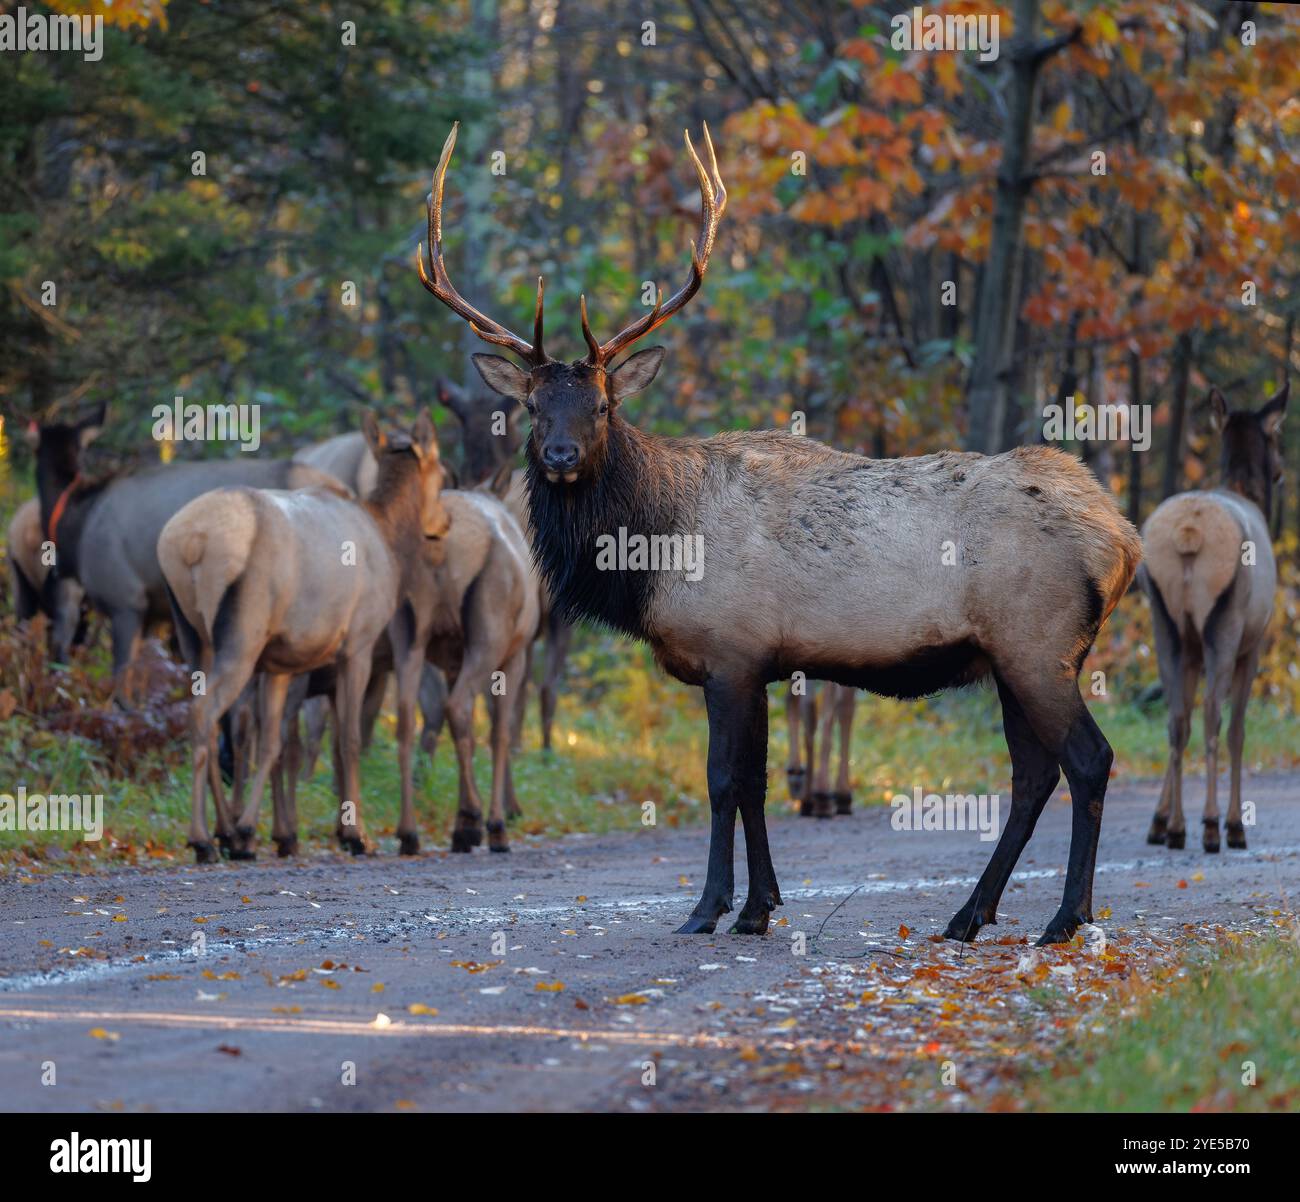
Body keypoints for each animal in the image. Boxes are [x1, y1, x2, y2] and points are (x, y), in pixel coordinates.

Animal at [156, 415, 449, 862]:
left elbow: (274, 743)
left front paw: (254, 830)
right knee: (204, 714)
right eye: (444, 473)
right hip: (242, 634)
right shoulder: (358, 644)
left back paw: (223, 832)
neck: (390, 540)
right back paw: (203, 838)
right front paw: (356, 836)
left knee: (212, 720)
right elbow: (348, 741)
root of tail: (190, 541)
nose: (445, 521)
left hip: (193, 637)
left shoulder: (279, 663)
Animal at [416, 122, 1138, 946]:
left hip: (1037, 644)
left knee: (1088, 759)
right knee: (1033, 773)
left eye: (601, 406)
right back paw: (970, 914)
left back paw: (1065, 917)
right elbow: (758, 785)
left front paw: (707, 909)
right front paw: (760, 906)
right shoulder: (762, 659)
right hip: (1012, 657)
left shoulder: (730, 650)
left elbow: (723, 780)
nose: (561, 456)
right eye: (534, 407)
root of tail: (1122, 540)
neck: (652, 553)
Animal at [1144, 379, 1284, 847]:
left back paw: (1176, 826)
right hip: (1225, 622)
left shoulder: (1187, 645)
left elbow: (1179, 719)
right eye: (1276, 438)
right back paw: (1210, 824)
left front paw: (1158, 818)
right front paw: (1234, 823)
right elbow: (1239, 730)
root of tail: (1190, 533)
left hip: (1164, 621)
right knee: (1212, 717)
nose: (1280, 471)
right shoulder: (1253, 644)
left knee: (1176, 718)